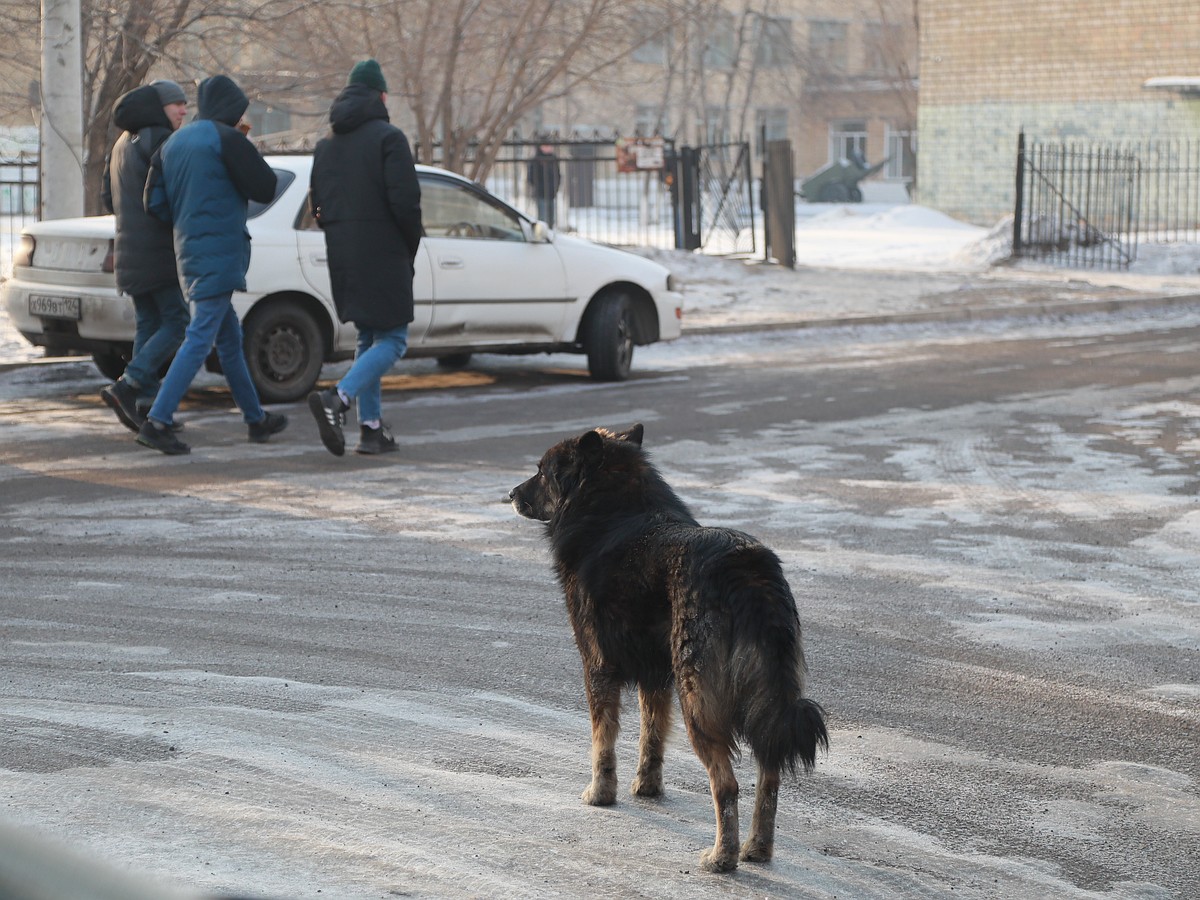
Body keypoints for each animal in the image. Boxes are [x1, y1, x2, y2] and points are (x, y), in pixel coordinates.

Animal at [506, 427, 825, 878]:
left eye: (542, 472)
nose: (510, 494)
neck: (613, 508)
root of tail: (747, 567)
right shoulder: (655, 676)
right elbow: (652, 734)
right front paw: (647, 787)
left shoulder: (597, 667)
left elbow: (603, 740)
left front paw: (601, 793)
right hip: (765, 699)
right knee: (771, 775)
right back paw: (757, 848)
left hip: (698, 701)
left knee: (726, 785)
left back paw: (722, 857)